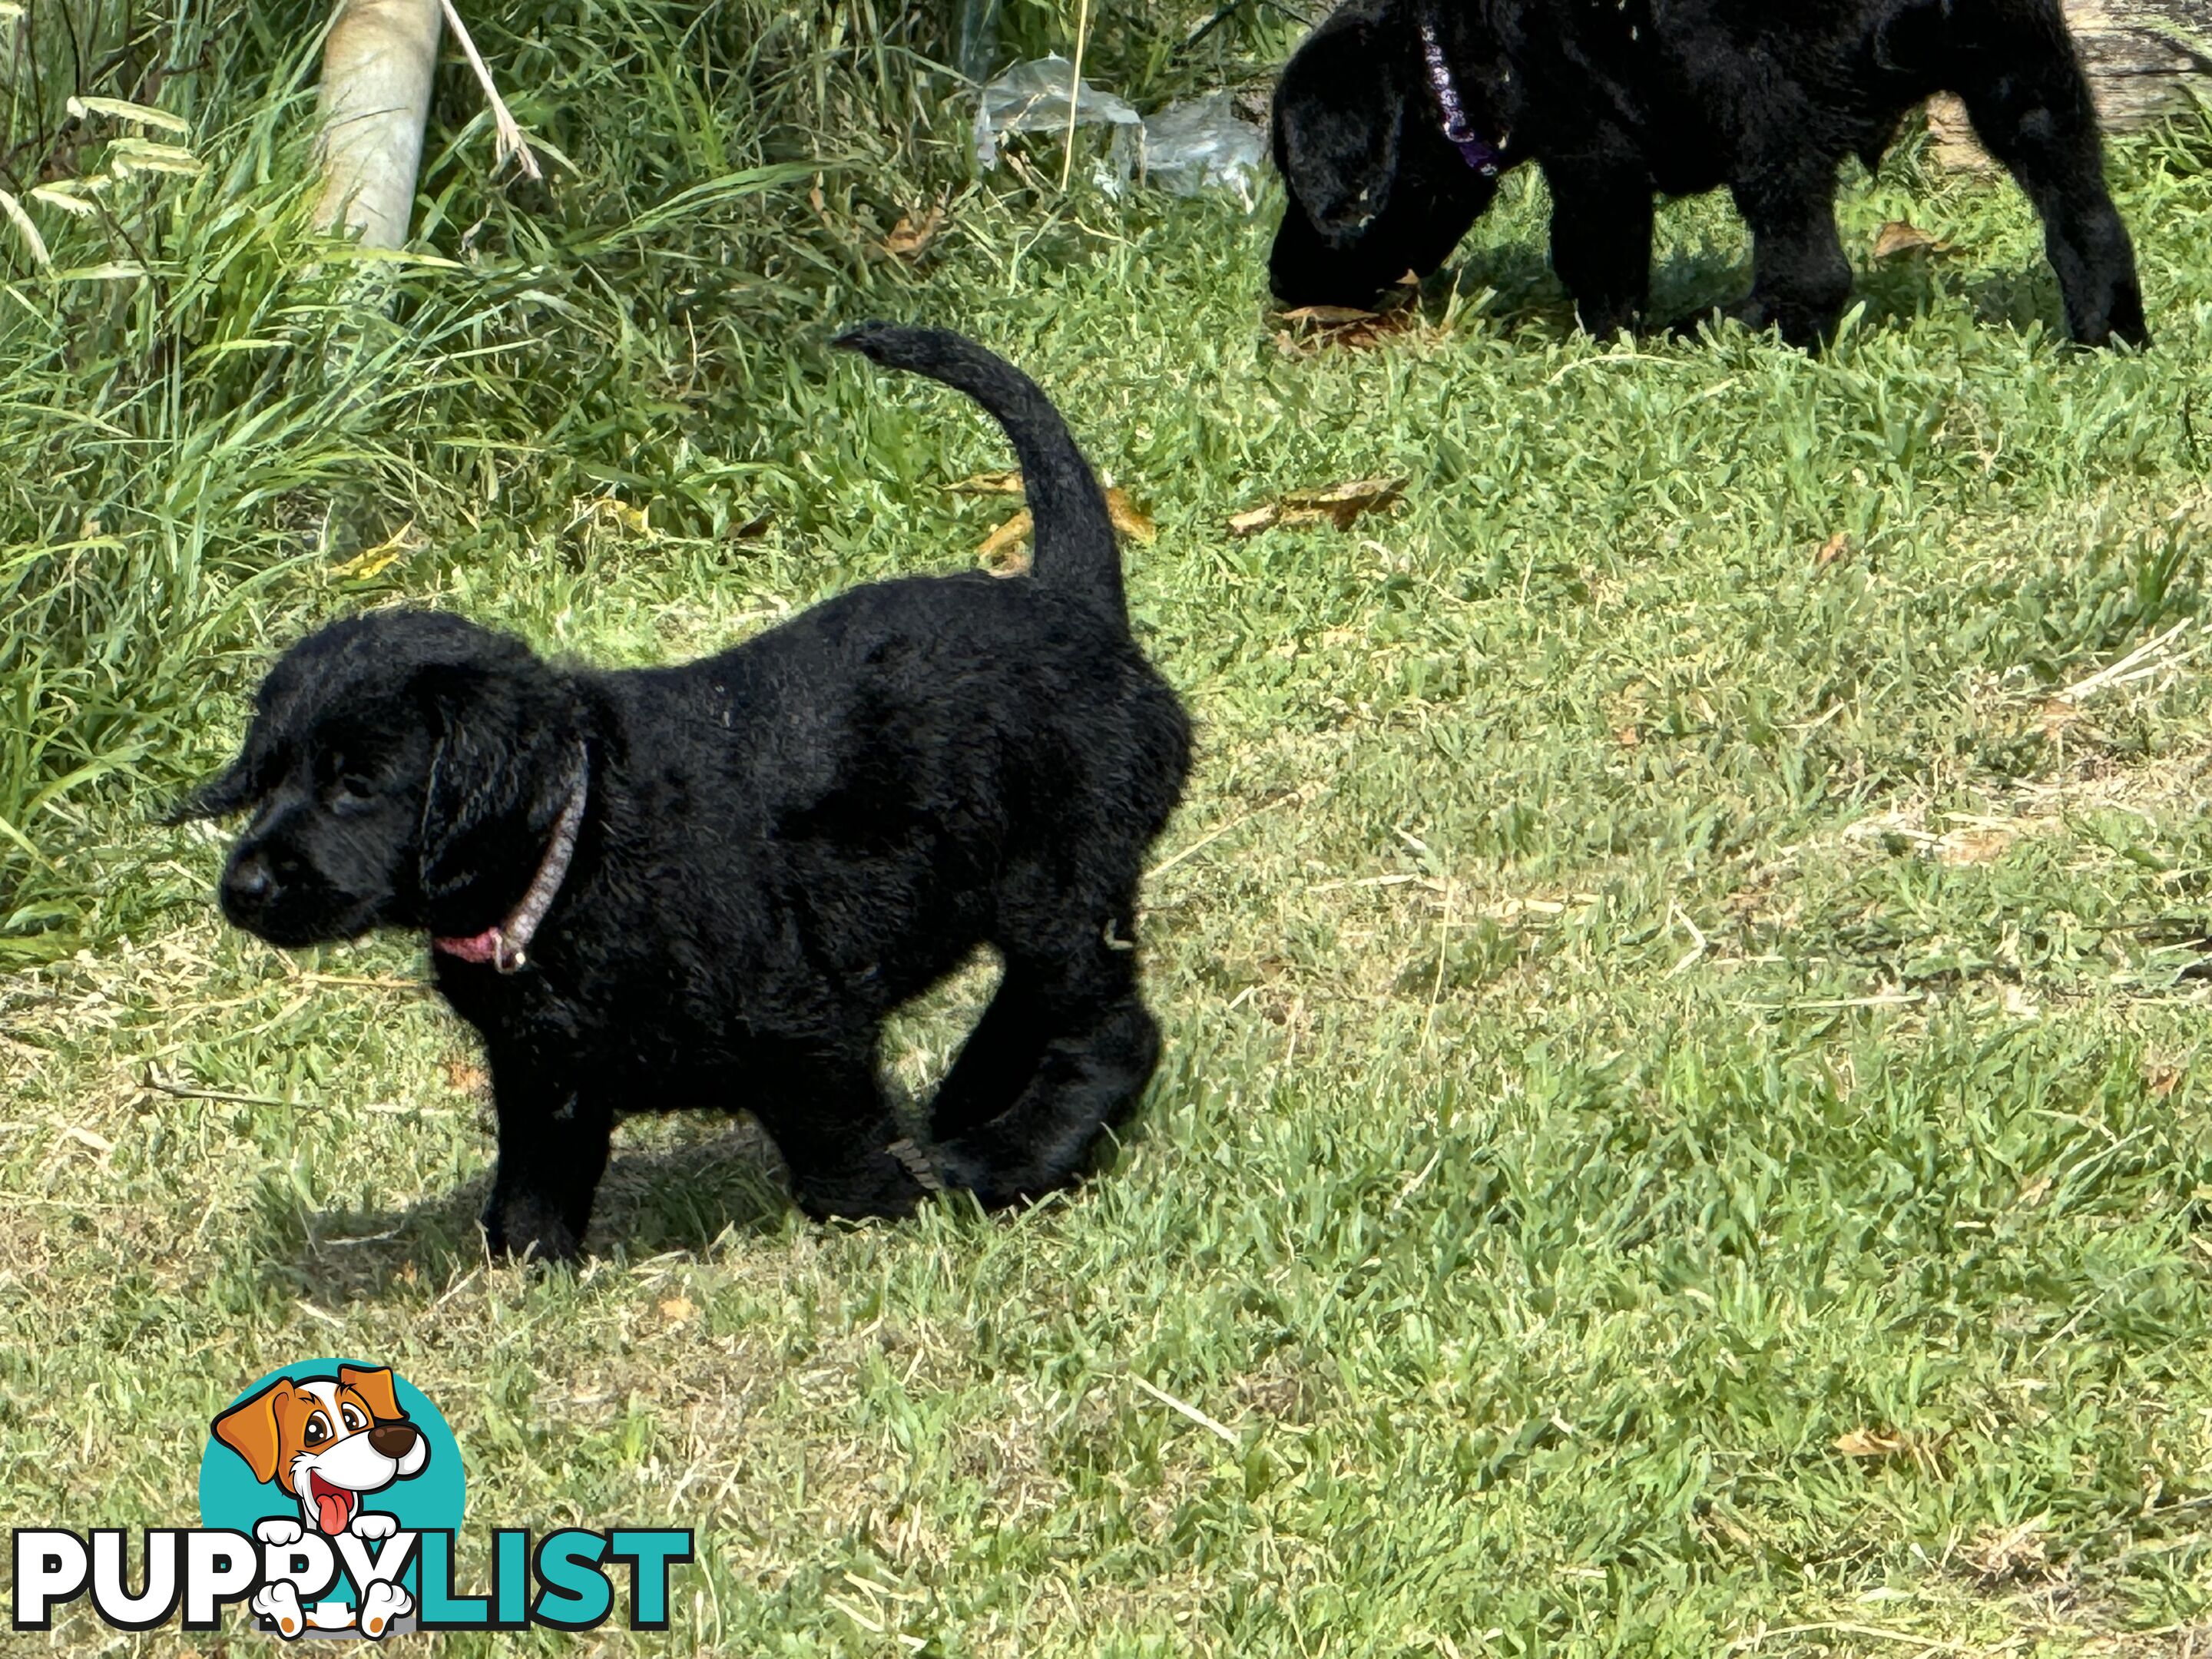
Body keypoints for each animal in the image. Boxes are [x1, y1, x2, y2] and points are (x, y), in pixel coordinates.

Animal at [177, 320, 1194, 1256]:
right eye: (267, 777)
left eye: (357, 785)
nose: (244, 888)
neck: (573, 847)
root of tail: (1069, 600)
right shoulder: (543, 1074)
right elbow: (532, 1194)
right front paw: (522, 1276)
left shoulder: (803, 1030)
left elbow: (843, 1159)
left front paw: (895, 1216)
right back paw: (973, 1103)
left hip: (1054, 884)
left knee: (1109, 1033)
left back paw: (1004, 1157)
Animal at [1273, 0, 2150, 347]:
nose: (1281, 286)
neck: (1444, 53)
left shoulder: (1592, 152)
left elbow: (1596, 259)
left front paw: (1602, 341)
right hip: (2028, 77)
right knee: (2089, 220)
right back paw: (2107, 336)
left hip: (1758, 99)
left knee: (1812, 270)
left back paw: (1735, 328)